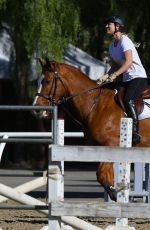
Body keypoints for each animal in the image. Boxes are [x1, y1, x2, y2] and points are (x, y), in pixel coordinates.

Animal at [33, 58, 150, 201]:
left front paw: (116, 194)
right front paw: (114, 192)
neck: (94, 104)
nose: (37, 110)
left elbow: (101, 174)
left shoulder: (111, 144)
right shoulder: (100, 148)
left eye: (47, 81)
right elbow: (105, 176)